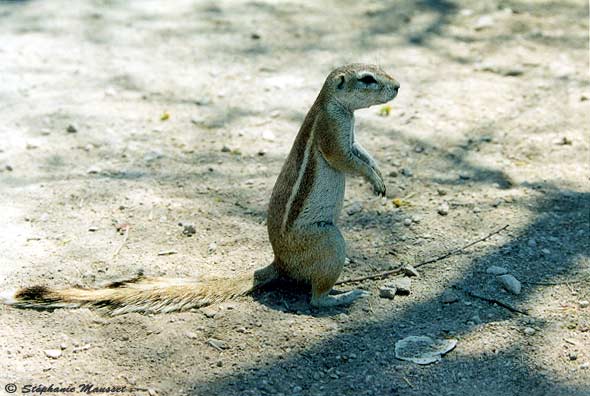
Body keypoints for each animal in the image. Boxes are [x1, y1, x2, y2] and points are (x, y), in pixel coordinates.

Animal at [0, 63, 402, 314]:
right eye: (368, 78)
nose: (398, 86)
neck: (334, 104)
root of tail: (279, 264)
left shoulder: (350, 135)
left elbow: (363, 154)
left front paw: (380, 176)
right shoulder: (333, 133)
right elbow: (346, 160)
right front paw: (374, 181)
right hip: (330, 240)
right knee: (315, 299)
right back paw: (344, 296)